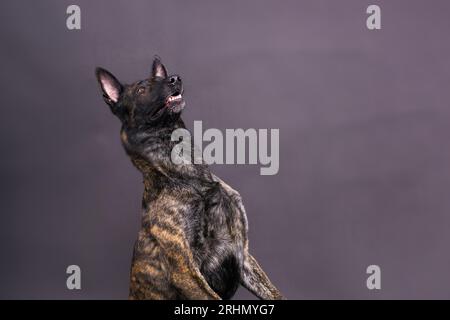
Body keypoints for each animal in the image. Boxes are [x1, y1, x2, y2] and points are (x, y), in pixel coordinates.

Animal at [96, 55, 284, 300]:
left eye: (163, 77)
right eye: (141, 89)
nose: (174, 78)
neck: (189, 177)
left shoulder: (242, 253)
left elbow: (275, 294)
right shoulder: (186, 271)